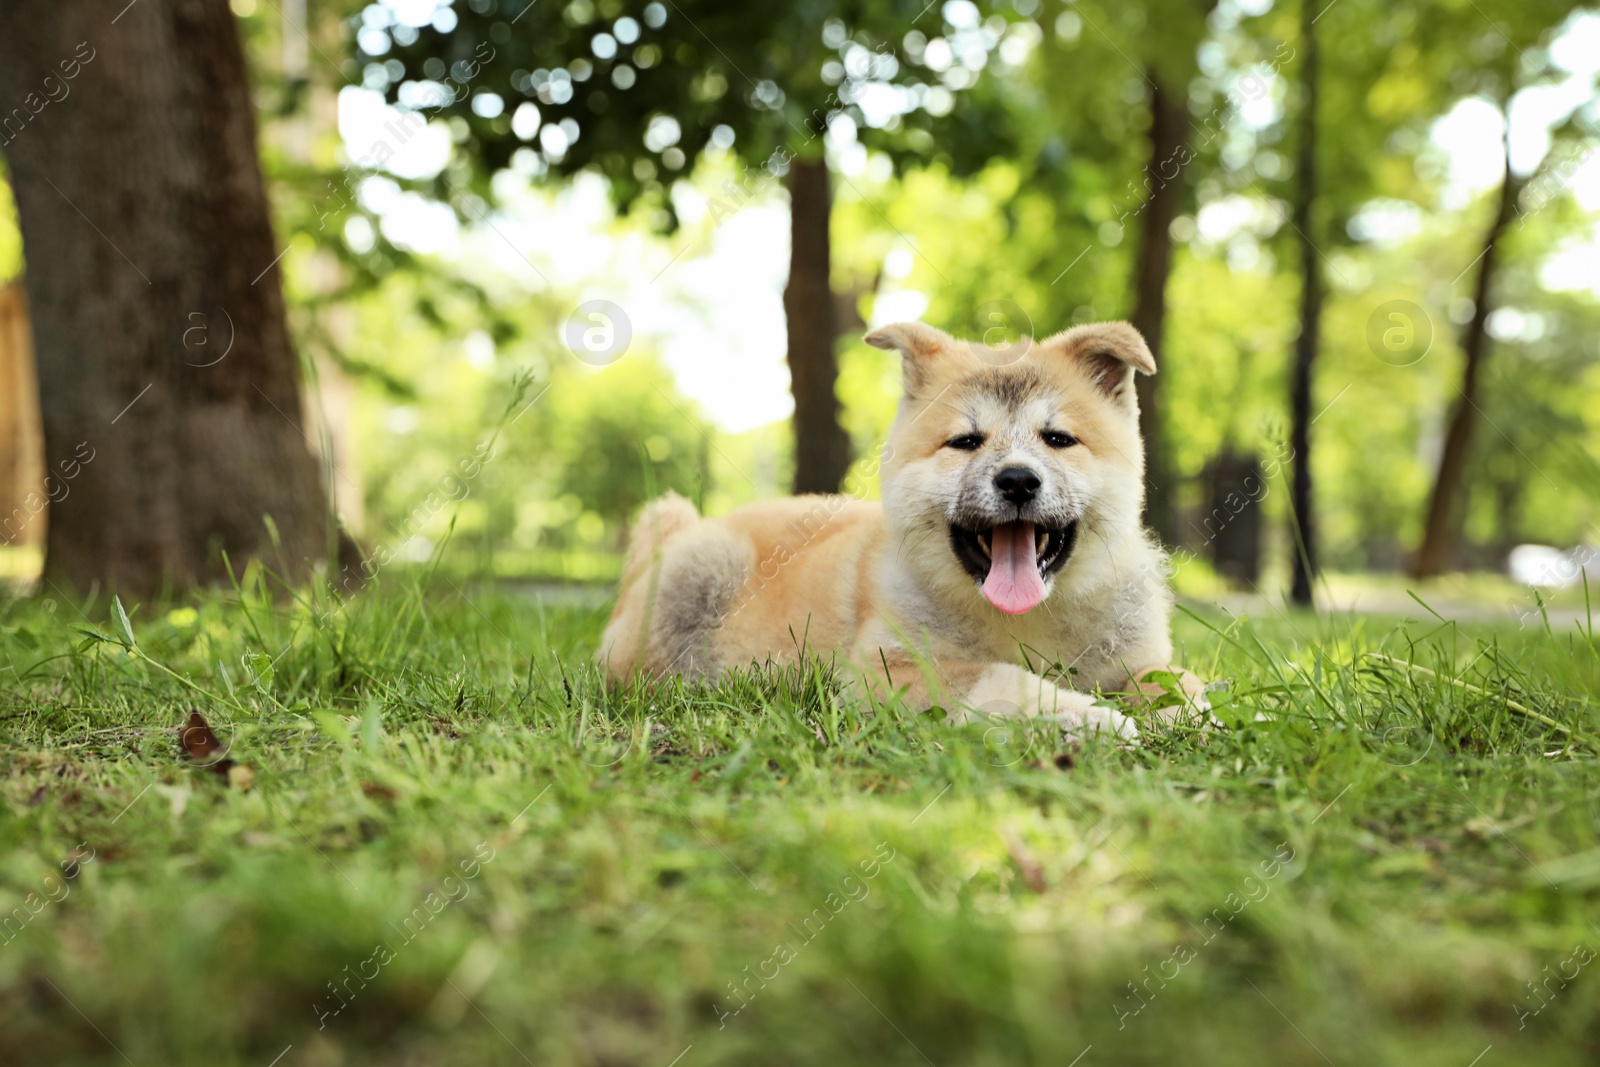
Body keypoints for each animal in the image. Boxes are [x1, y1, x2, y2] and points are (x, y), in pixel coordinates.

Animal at [601, 316, 1203, 739]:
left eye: (1058, 439)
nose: (1017, 480)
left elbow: (1178, 681)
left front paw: (1191, 714)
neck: (1026, 622)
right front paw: (1091, 718)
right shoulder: (888, 671)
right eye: (965, 442)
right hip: (698, 578)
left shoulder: (1140, 658)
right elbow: (1003, 679)